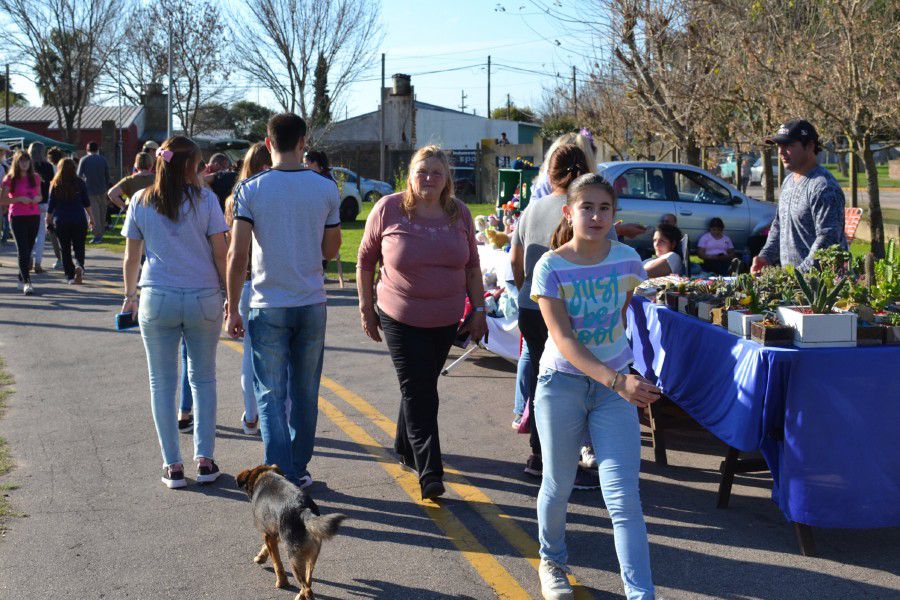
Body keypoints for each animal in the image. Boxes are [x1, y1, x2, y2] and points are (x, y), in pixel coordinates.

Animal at [236, 464, 344, 600]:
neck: (264, 475)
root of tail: (303, 509)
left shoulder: (268, 534)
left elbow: (277, 563)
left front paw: (281, 582)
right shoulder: (274, 534)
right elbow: (266, 547)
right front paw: (261, 557)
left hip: (294, 558)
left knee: (307, 588)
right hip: (311, 555)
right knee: (308, 581)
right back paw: (301, 594)